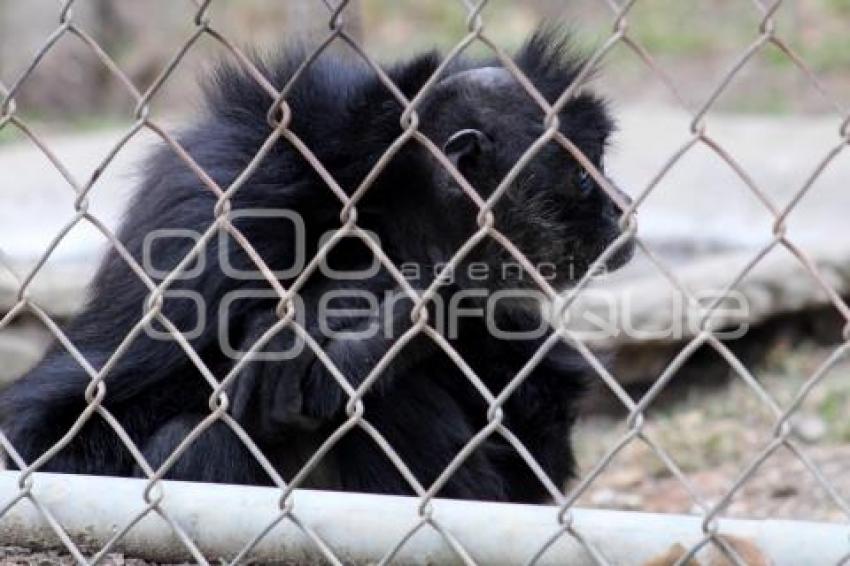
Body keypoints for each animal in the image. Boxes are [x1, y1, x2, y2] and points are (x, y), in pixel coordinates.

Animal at [0, 28, 628, 504]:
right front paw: (349, 319)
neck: (373, 208)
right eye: (582, 177)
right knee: (203, 436)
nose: (620, 206)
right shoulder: (219, 210)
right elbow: (38, 433)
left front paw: (350, 317)